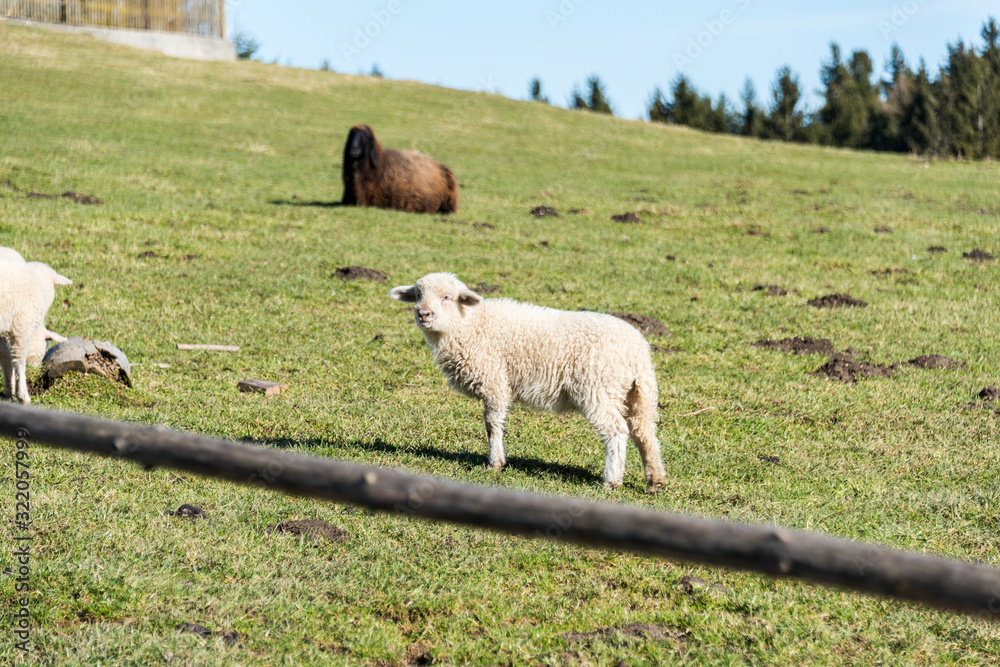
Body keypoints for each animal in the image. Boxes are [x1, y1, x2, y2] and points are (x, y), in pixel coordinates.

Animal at [0, 257, 72, 403]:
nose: (36, 369)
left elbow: (5, 357)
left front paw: (10, 390)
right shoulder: (22, 328)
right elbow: (18, 362)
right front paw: (22, 396)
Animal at [389, 272, 667, 493]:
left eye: (447, 297)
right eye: (417, 295)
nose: (423, 314)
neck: (469, 325)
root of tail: (637, 351)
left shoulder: (495, 380)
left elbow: (491, 423)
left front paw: (495, 463)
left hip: (597, 390)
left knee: (616, 432)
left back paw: (611, 480)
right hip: (637, 393)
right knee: (644, 434)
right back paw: (655, 481)